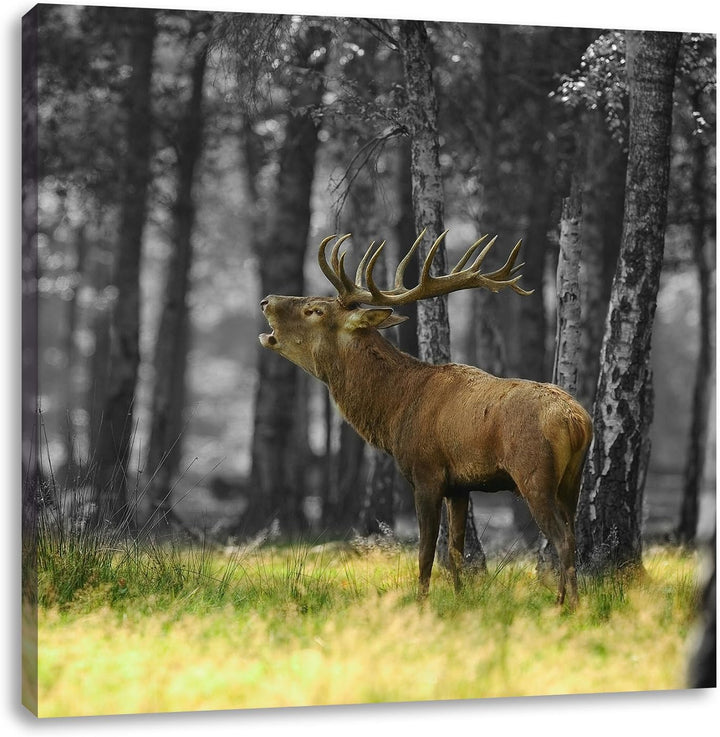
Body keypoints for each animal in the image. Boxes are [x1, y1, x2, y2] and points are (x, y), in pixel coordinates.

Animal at [258, 230, 593, 607]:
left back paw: (567, 604)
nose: (266, 300)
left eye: (314, 310)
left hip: (534, 473)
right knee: (573, 534)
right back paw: (566, 599)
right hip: (573, 479)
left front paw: (422, 603)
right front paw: (460, 598)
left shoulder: (426, 472)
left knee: (562, 538)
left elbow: (425, 552)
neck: (394, 411)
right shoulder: (461, 485)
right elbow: (456, 550)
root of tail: (578, 421)